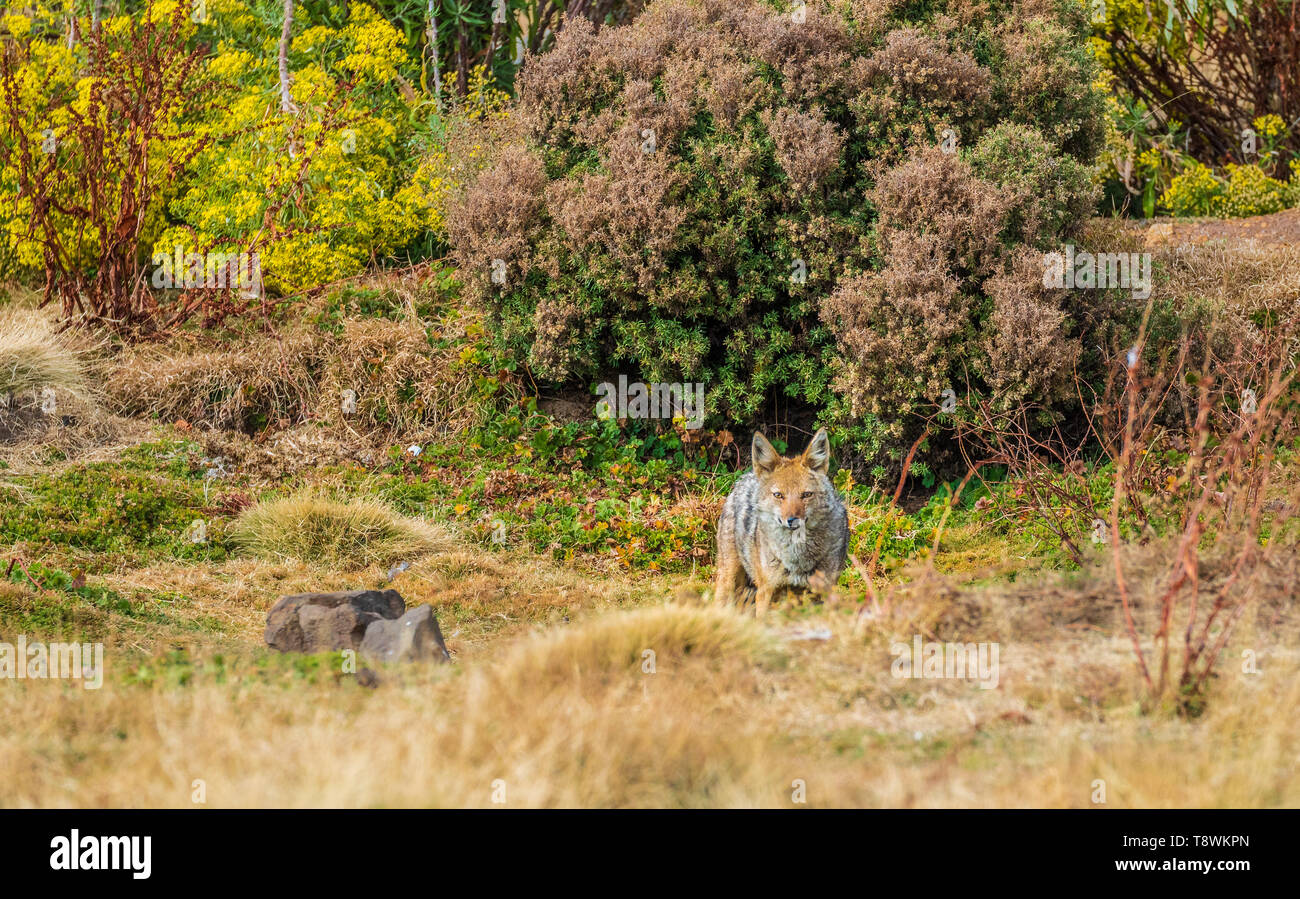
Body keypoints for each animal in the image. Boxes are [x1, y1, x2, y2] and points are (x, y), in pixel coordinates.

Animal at [717, 431, 847, 618]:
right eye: (778, 495)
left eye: (806, 495)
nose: (792, 520)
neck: (797, 558)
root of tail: (745, 477)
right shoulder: (766, 591)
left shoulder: (827, 590)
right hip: (728, 577)